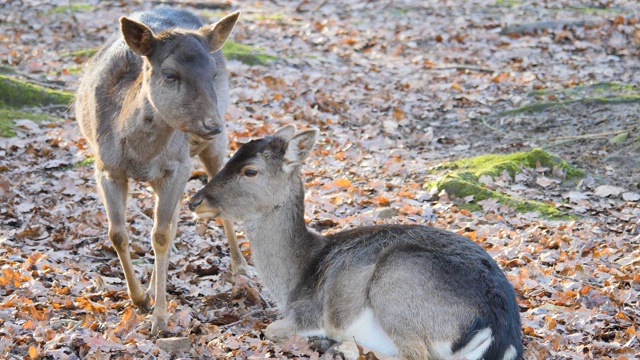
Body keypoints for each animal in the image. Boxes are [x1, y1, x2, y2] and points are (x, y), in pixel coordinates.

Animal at [74, 7, 246, 334]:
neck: (140, 154)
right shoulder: (105, 167)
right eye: (170, 75)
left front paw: (160, 319)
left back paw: (240, 266)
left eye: (213, 74)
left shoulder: (176, 167)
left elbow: (161, 236)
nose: (212, 124)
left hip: (209, 150)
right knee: (174, 218)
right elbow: (117, 233)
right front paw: (141, 298)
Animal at [188, 124, 524, 360]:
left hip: (397, 282)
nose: (195, 200)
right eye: (232, 155)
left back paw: (340, 346)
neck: (292, 281)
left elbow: (271, 329)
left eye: (250, 171)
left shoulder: (308, 313)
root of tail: (499, 329)